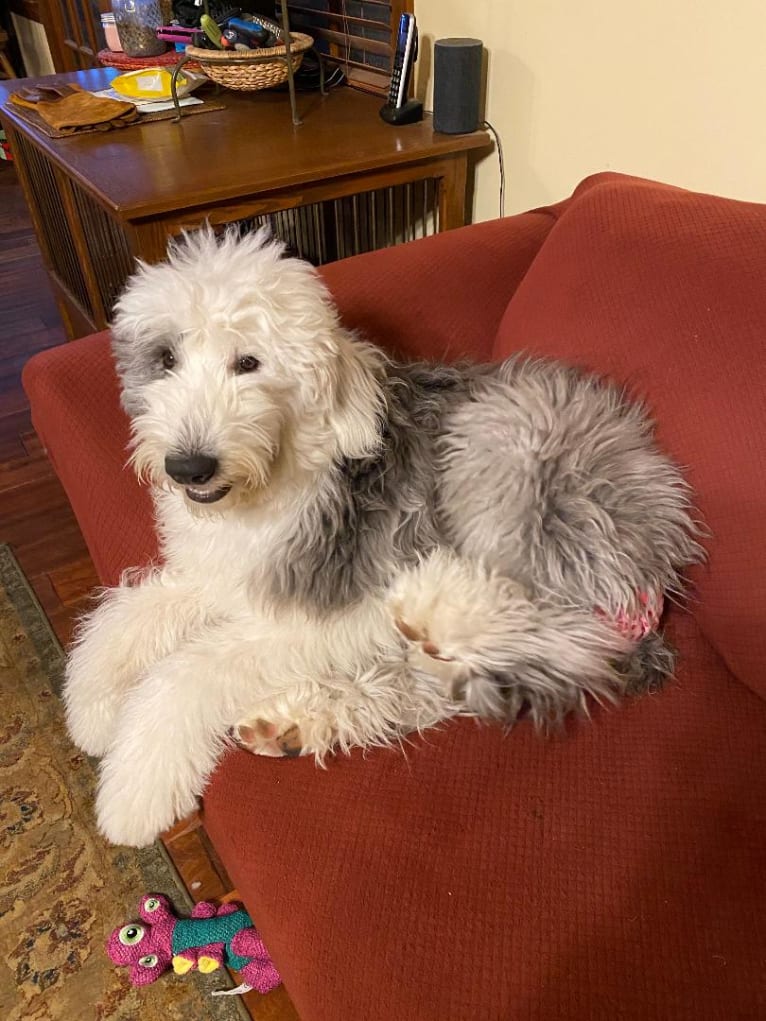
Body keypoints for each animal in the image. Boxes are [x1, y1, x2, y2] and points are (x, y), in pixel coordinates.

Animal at [63, 229, 706, 845]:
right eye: (165, 357)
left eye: (248, 362)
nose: (189, 468)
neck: (272, 482)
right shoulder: (218, 577)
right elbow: (125, 619)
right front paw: (92, 709)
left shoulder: (325, 613)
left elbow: (187, 672)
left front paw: (133, 790)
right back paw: (298, 724)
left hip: (510, 450)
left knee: (550, 622)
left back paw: (436, 604)